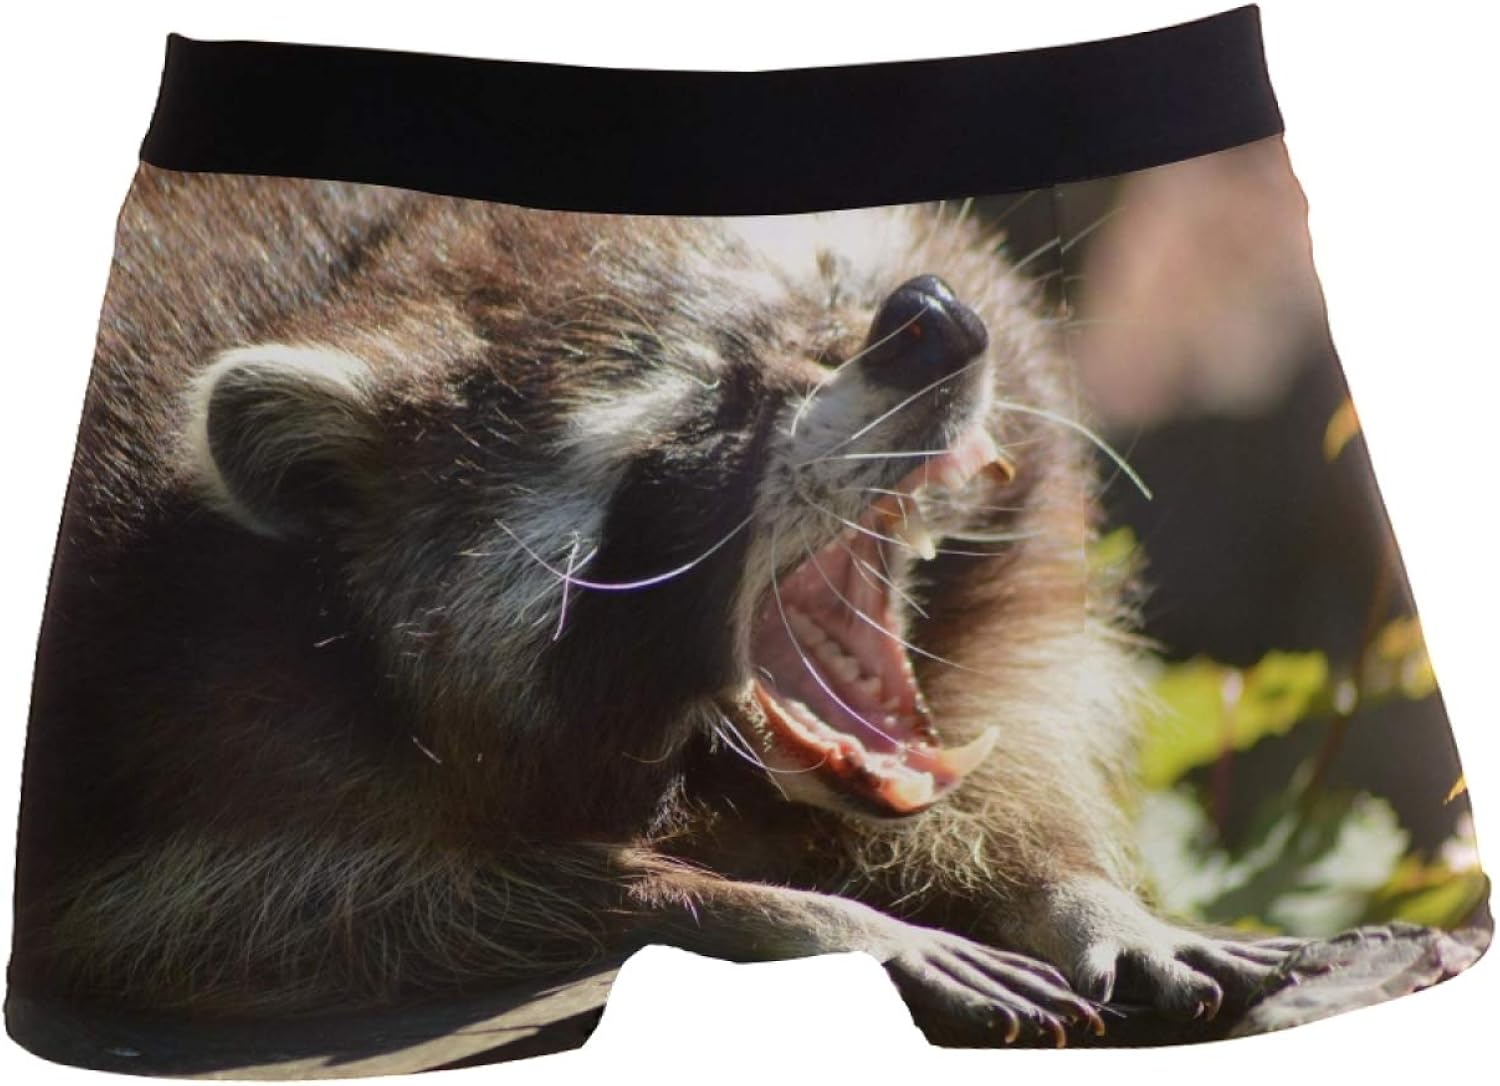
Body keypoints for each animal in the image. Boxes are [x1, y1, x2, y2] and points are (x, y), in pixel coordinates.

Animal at [9, 165, 1292, 1045]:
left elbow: (1017, 719)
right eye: (706, 414)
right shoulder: (188, 699)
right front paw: (766, 908)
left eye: (844, 300)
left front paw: (1068, 886)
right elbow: (242, 910)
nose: (926, 323)